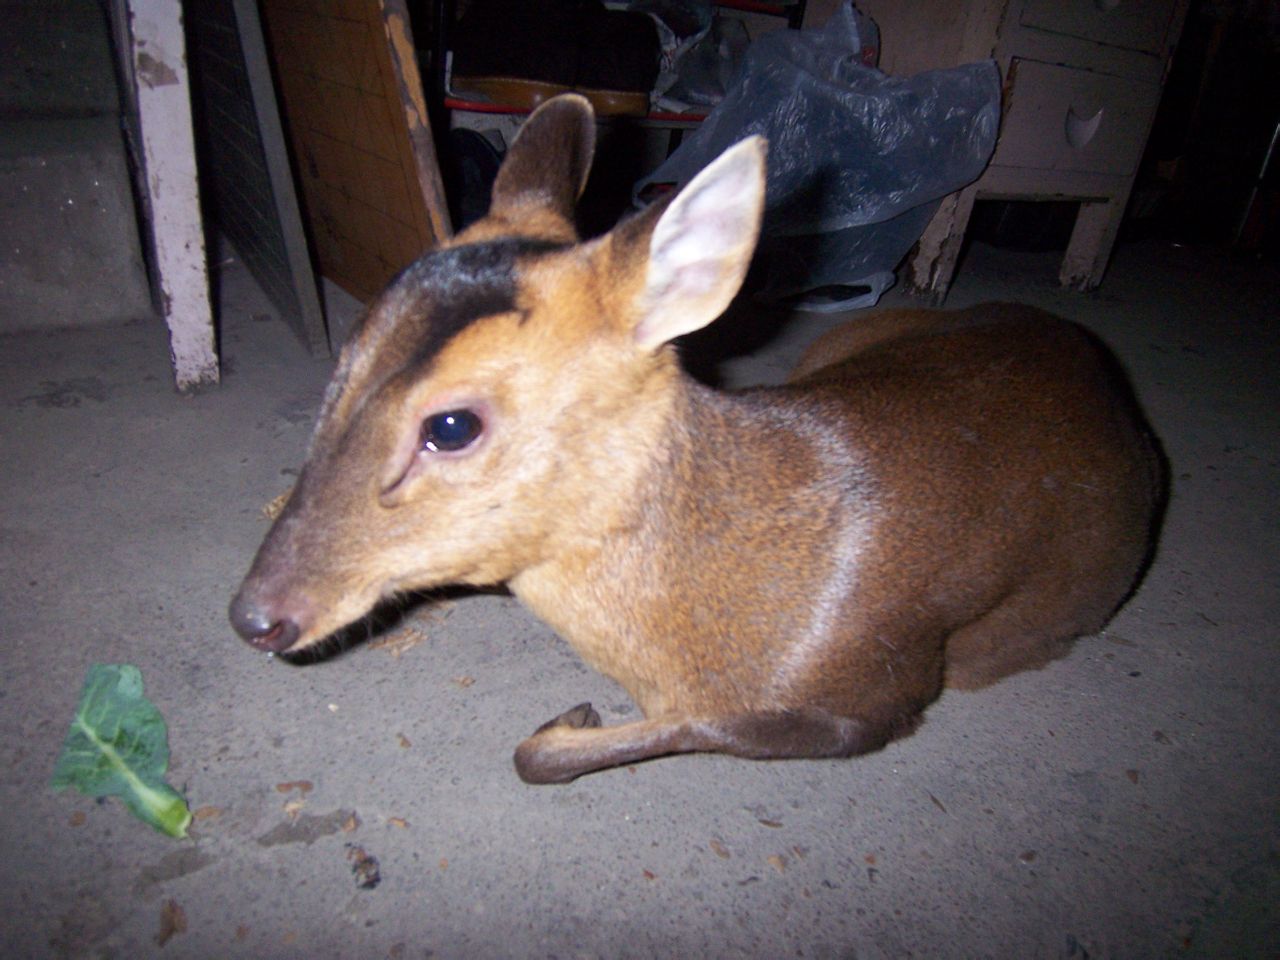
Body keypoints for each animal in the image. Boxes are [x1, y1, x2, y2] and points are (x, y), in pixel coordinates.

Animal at [227, 96, 1162, 788]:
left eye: (451, 426)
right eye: (344, 358)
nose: (256, 616)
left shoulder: (873, 692)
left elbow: (588, 746)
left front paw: (571, 718)